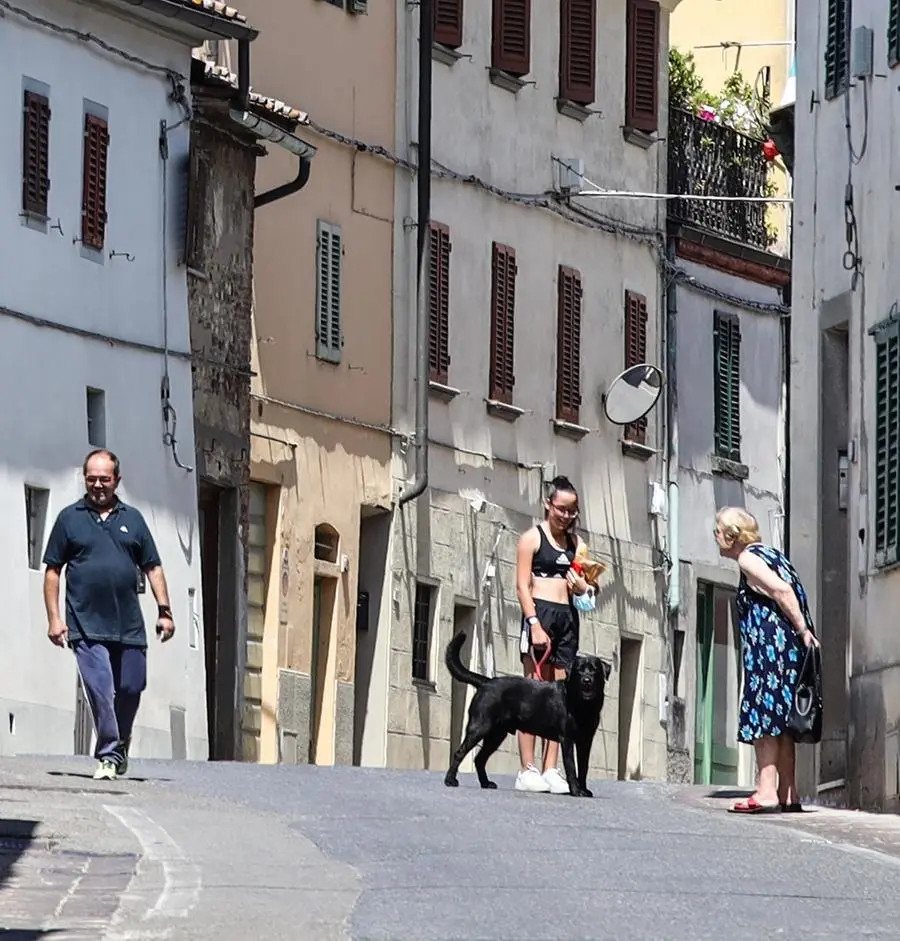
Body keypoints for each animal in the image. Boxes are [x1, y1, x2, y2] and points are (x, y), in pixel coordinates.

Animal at [442, 632, 612, 792]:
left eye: (595, 670)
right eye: (579, 671)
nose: (587, 680)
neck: (583, 705)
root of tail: (486, 682)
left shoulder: (586, 741)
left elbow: (583, 768)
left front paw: (584, 790)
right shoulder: (567, 739)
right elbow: (571, 767)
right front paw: (576, 790)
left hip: (496, 735)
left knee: (479, 759)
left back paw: (486, 783)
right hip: (480, 727)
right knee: (459, 753)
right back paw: (450, 780)